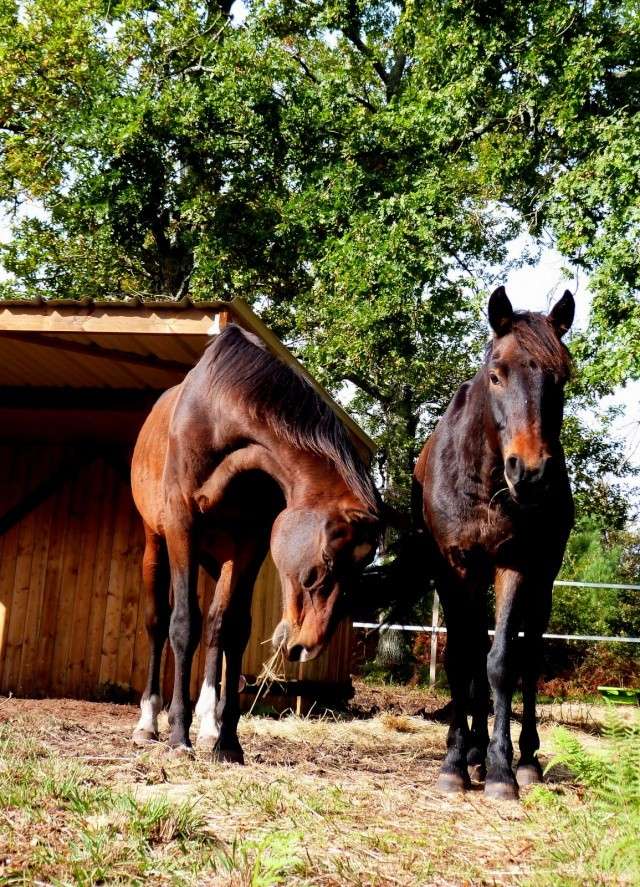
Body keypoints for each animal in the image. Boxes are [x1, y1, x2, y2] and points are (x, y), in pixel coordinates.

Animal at [131, 326, 380, 764]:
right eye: (317, 571)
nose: (305, 648)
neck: (220, 417)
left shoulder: (250, 544)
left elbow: (232, 630)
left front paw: (228, 740)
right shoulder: (182, 527)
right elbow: (183, 624)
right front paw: (178, 735)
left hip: (220, 557)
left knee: (215, 625)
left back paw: (208, 727)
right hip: (157, 541)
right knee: (158, 621)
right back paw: (149, 724)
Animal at [416, 288, 576, 800]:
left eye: (561, 378)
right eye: (496, 374)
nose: (531, 473)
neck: (484, 482)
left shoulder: (515, 566)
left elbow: (502, 661)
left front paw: (502, 771)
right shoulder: (453, 569)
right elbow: (462, 660)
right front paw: (455, 761)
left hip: (543, 580)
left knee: (529, 656)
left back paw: (525, 759)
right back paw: (473, 752)